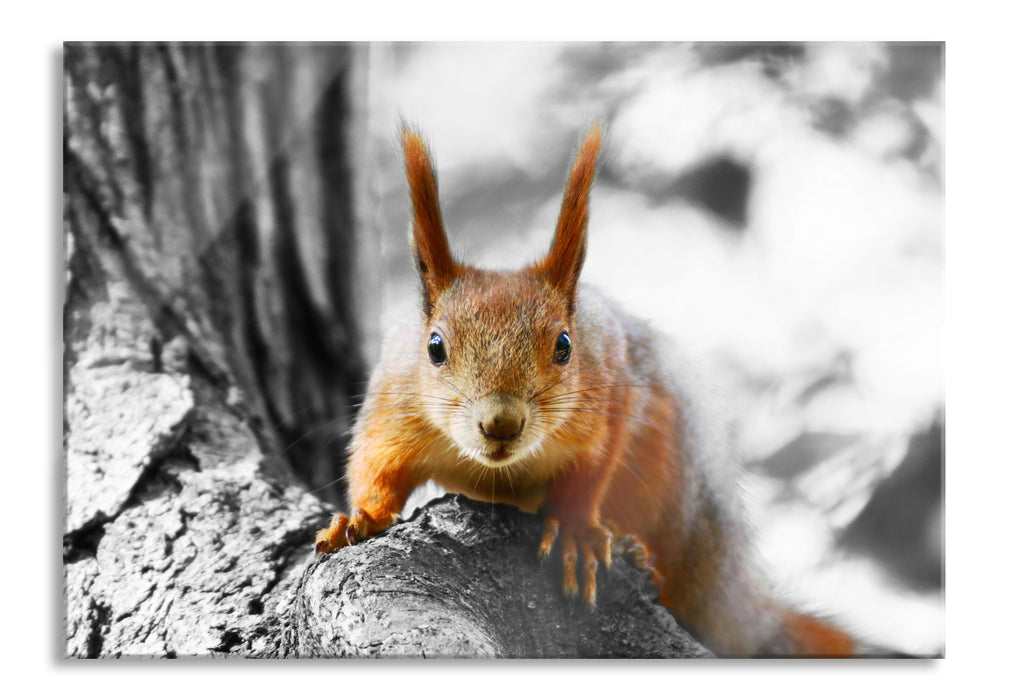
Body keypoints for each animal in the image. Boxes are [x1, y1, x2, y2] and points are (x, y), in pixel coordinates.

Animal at [315, 124, 855, 658]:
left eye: (564, 345)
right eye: (434, 347)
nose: (501, 423)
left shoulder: (610, 392)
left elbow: (593, 469)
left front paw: (576, 531)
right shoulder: (393, 403)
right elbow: (376, 466)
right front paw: (360, 518)